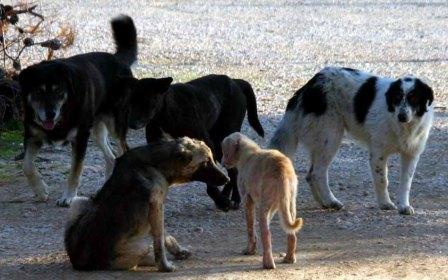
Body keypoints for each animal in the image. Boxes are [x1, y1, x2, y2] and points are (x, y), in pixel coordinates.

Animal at [17, 15, 172, 208]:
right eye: (38, 92)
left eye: (58, 91)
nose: (50, 114)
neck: (64, 112)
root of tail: (118, 59)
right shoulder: (32, 135)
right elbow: (27, 165)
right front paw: (40, 190)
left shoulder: (80, 138)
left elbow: (75, 171)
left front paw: (68, 197)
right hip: (97, 129)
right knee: (111, 158)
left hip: (115, 125)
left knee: (123, 151)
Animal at [65, 136, 229, 272]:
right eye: (206, 162)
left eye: (212, 159)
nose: (227, 179)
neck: (156, 164)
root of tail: (81, 263)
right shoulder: (157, 207)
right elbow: (159, 242)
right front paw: (165, 266)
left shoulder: (156, 210)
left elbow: (166, 236)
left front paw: (178, 252)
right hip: (141, 246)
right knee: (143, 256)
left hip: (79, 201)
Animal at [121, 74, 264, 210]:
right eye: (130, 102)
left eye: (147, 101)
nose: (131, 123)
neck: (166, 113)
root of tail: (235, 81)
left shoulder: (206, 145)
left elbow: (210, 178)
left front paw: (221, 201)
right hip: (218, 143)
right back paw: (226, 195)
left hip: (223, 138)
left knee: (234, 170)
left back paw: (234, 198)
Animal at [221, 133, 302, 270]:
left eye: (223, 150)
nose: (221, 163)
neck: (248, 153)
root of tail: (282, 168)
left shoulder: (247, 200)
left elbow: (250, 229)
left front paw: (250, 250)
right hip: (289, 205)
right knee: (291, 234)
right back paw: (289, 259)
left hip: (264, 208)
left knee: (267, 235)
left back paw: (268, 264)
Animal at [270, 67, 434, 214]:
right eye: (397, 98)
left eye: (414, 98)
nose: (402, 116)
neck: (403, 126)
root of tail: (310, 85)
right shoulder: (378, 154)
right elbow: (382, 180)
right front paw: (385, 203)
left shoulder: (411, 154)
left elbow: (406, 183)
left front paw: (404, 206)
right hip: (330, 137)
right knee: (317, 173)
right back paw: (331, 201)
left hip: (322, 141)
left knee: (310, 175)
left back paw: (324, 203)